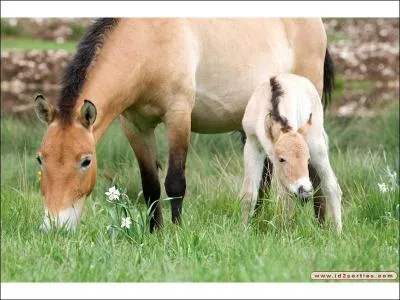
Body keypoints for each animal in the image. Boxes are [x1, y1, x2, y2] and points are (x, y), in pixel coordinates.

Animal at [241, 74, 340, 233]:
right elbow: (249, 193)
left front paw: (285, 233)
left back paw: (338, 232)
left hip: (316, 144)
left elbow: (286, 199)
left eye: (307, 159)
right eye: (281, 159)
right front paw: (244, 231)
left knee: (331, 186)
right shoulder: (252, 143)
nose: (305, 191)